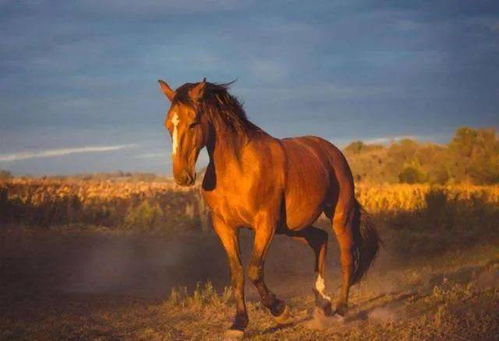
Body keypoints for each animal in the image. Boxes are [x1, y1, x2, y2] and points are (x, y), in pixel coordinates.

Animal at [158, 78, 380, 336]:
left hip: (339, 216)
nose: (182, 176)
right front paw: (239, 324)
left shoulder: (265, 223)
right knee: (320, 239)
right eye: (168, 124)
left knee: (347, 258)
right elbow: (237, 273)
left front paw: (280, 311)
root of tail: (332, 152)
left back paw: (339, 310)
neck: (238, 168)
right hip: (293, 227)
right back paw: (322, 301)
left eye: (193, 122)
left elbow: (254, 269)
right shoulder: (224, 226)